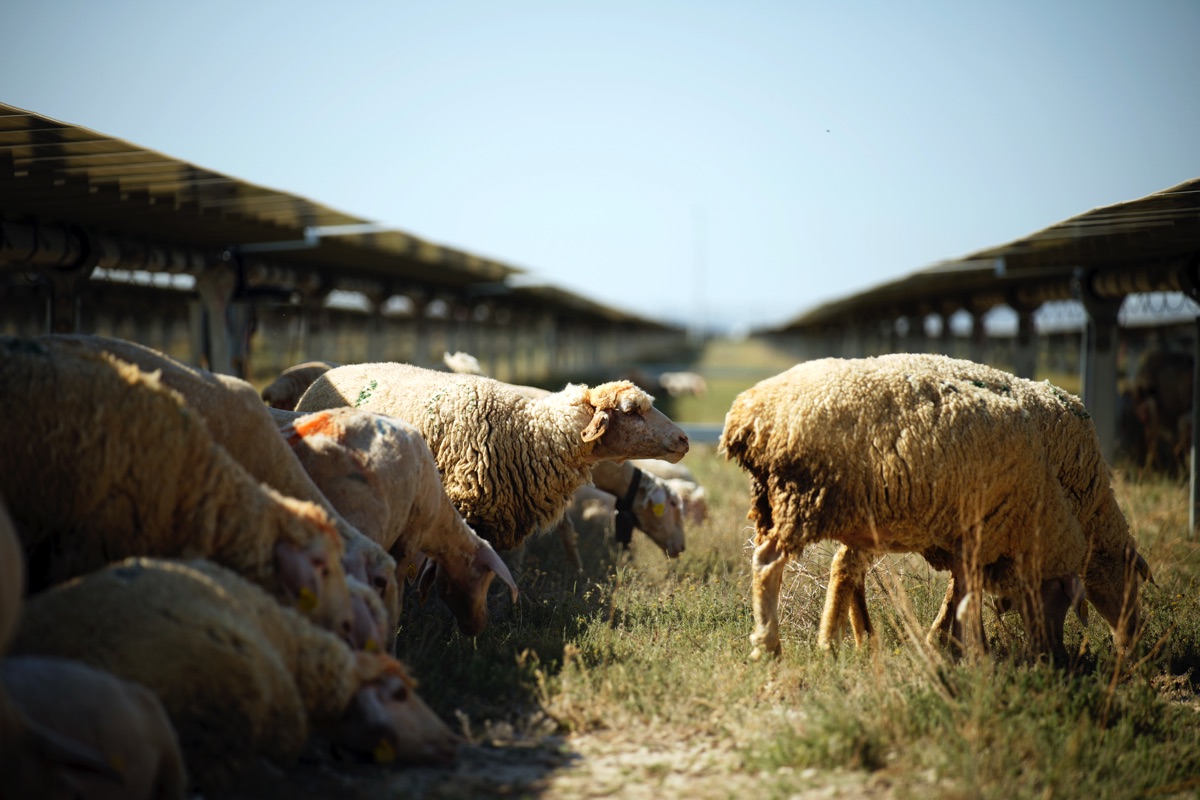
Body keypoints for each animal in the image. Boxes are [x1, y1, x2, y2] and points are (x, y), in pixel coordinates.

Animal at [720, 352, 1152, 662]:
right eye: (1131, 582)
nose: (1131, 644)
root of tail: (750, 414)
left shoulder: (962, 536)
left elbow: (956, 591)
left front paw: (945, 642)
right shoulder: (985, 533)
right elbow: (964, 594)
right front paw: (967, 649)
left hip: (819, 505)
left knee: (838, 565)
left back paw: (845, 639)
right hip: (803, 499)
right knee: (770, 563)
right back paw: (774, 645)